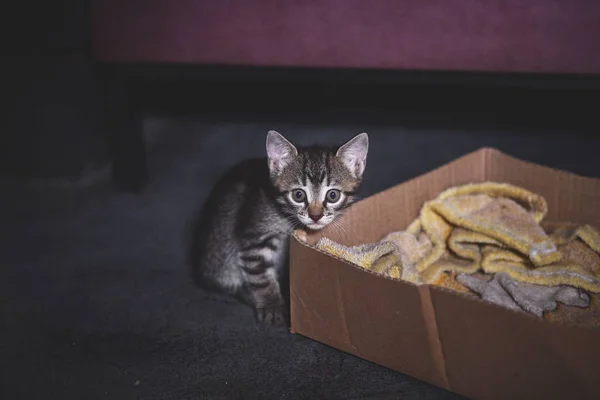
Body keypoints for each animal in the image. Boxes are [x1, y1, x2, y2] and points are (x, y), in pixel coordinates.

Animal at [191, 131, 370, 324]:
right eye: (298, 195)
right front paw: (272, 306)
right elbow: (261, 277)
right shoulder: (255, 236)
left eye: (333, 195)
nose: (315, 216)